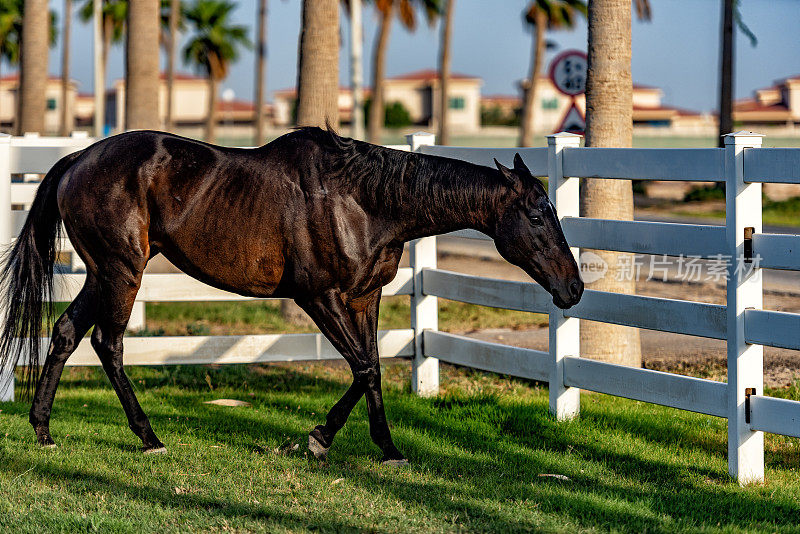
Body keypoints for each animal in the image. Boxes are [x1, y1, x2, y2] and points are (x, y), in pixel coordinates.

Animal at [0, 126, 580, 464]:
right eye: (536, 215)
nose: (573, 288)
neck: (363, 199)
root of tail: (78, 159)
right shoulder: (317, 296)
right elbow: (363, 368)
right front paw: (320, 438)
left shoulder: (365, 297)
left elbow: (371, 368)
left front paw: (388, 448)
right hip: (122, 272)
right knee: (109, 344)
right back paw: (149, 436)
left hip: (102, 274)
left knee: (66, 332)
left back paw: (43, 429)